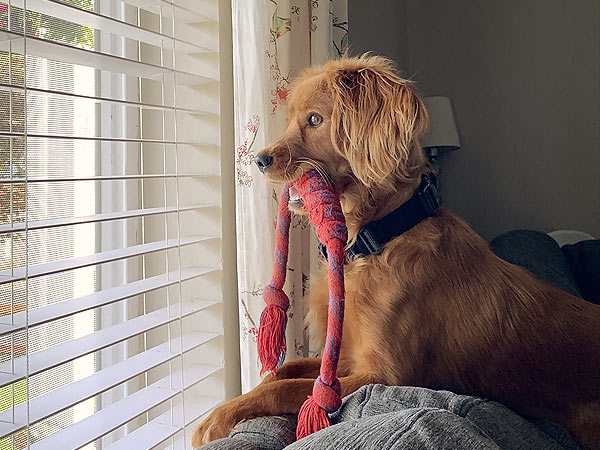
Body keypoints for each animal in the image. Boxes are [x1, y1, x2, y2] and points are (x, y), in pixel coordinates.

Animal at [191, 54, 600, 448]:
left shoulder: (382, 374)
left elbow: (291, 389)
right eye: (291, 119)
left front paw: (217, 419)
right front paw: (238, 400)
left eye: (315, 120)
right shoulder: (346, 358)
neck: (377, 241)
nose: (259, 160)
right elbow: (284, 371)